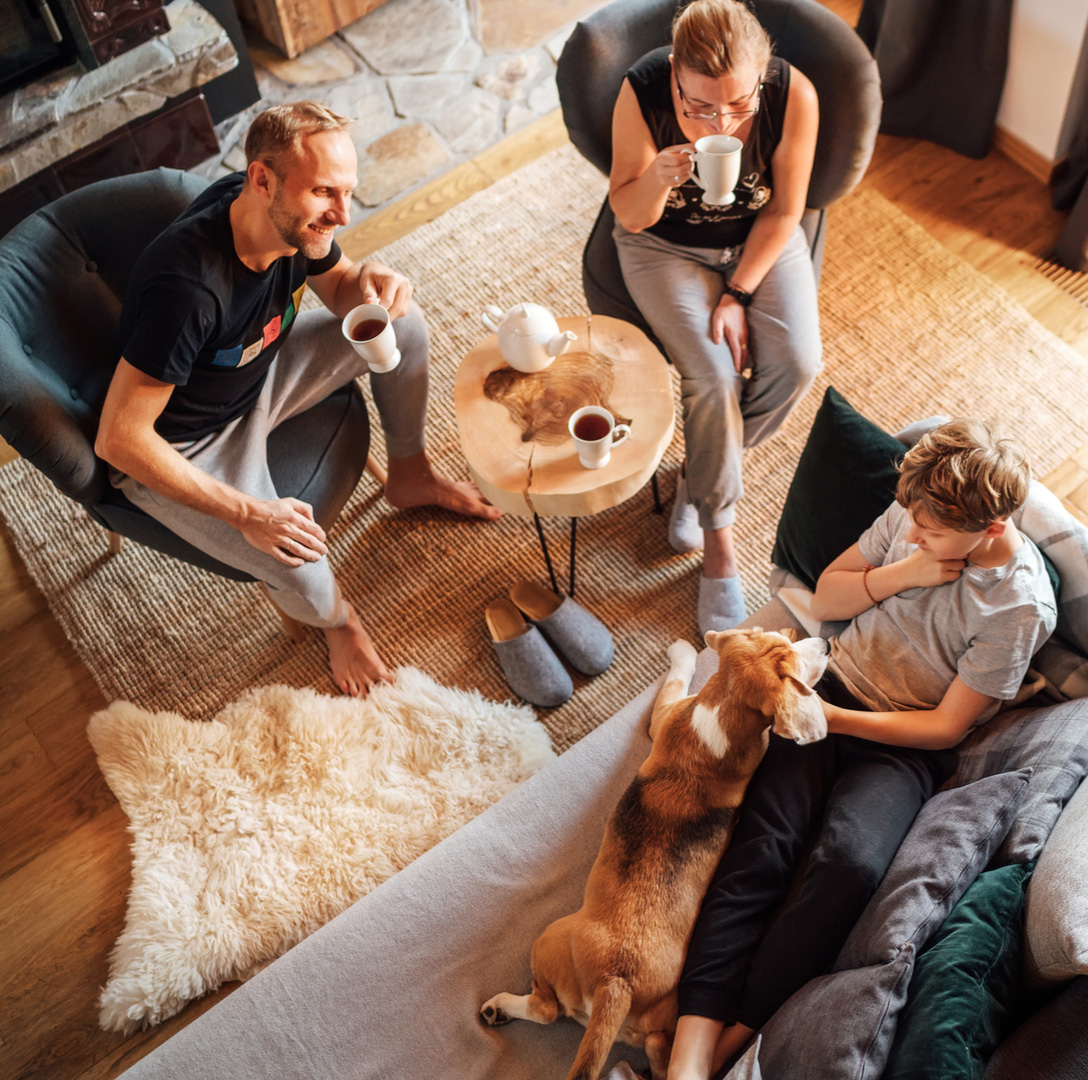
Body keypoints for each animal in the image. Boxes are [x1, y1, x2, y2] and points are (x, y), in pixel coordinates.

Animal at [480, 622, 826, 1078]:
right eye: (788, 651)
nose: (826, 643)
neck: (725, 705)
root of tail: (616, 983)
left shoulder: (664, 715)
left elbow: (676, 677)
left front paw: (682, 652)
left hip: (546, 940)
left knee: (545, 1010)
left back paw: (500, 1007)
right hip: (662, 1018)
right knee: (659, 1049)